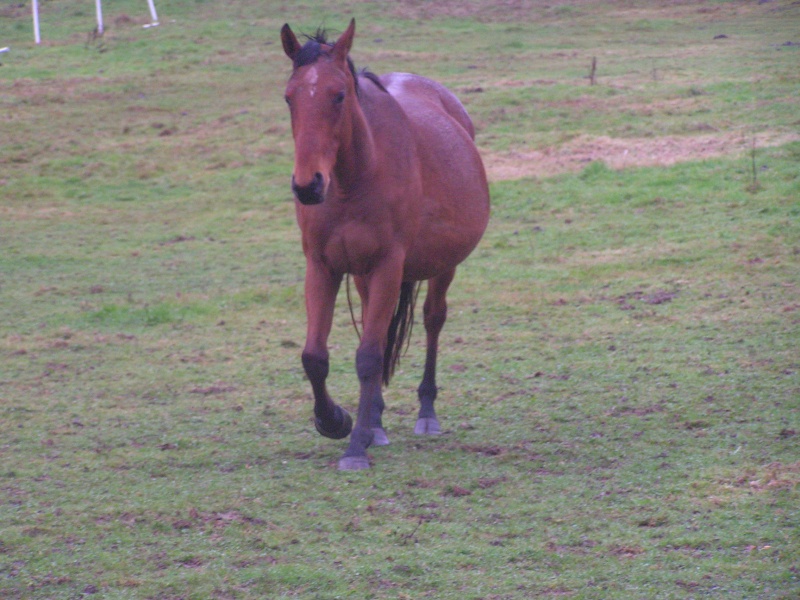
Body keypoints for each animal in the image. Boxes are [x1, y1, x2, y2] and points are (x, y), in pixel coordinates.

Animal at [282, 18, 494, 472]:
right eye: (289, 98)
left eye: (339, 95)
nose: (308, 186)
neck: (355, 179)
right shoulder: (322, 267)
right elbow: (315, 356)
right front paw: (336, 421)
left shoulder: (387, 266)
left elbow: (368, 356)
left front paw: (354, 446)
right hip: (363, 276)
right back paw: (375, 422)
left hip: (441, 267)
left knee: (432, 320)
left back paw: (425, 413)